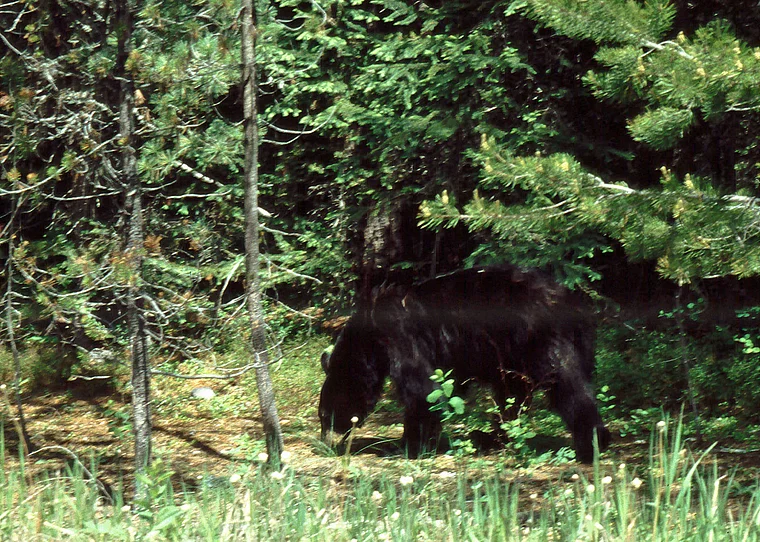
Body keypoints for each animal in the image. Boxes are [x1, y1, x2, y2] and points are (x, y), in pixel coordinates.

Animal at [319, 264, 610, 462]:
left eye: (324, 416)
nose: (324, 442)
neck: (369, 339)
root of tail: (574, 303)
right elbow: (446, 388)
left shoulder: (400, 337)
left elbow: (421, 390)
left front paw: (407, 445)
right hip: (512, 354)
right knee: (511, 395)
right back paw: (493, 437)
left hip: (539, 339)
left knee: (566, 385)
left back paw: (592, 443)